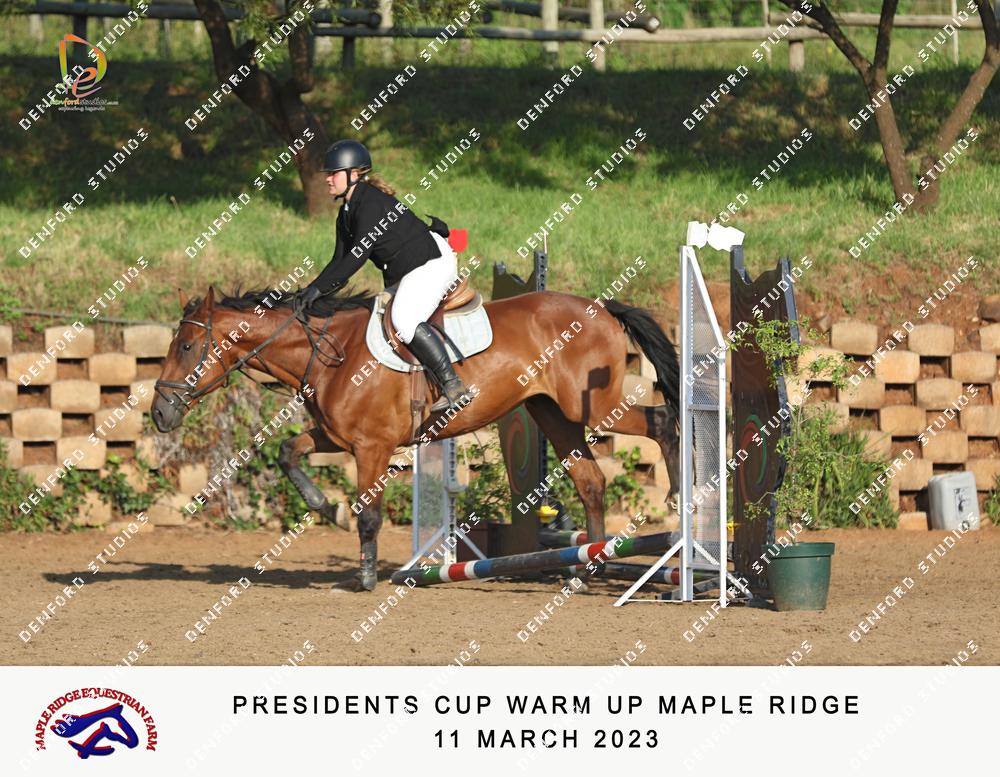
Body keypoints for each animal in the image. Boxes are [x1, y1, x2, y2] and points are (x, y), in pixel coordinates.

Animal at [152, 284, 681, 591]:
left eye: (186, 346)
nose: (158, 413)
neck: (330, 354)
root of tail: (602, 309)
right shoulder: (337, 437)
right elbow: (288, 452)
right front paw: (325, 507)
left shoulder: (372, 447)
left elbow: (369, 515)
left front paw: (365, 577)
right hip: (552, 413)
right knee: (591, 481)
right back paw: (591, 567)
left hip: (589, 406)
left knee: (660, 422)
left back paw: (678, 500)